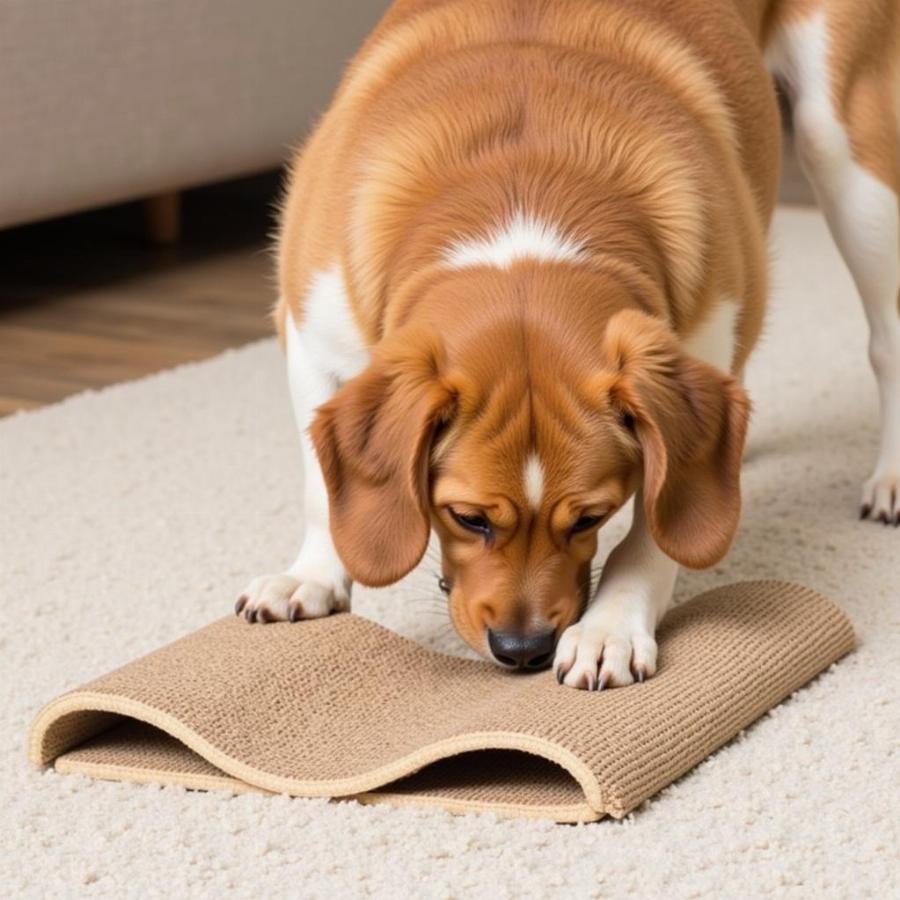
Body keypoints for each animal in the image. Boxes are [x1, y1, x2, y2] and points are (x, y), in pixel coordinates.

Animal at [237, 0, 900, 688]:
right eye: (468, 517)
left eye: (589, 518)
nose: (522, 649)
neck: (521, 187)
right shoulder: (307, 333)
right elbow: (321, 489)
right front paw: (313, 576)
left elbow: (657, 527)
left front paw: (610, 626)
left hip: (844, 146)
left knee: (886, 338)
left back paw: (889, 477)